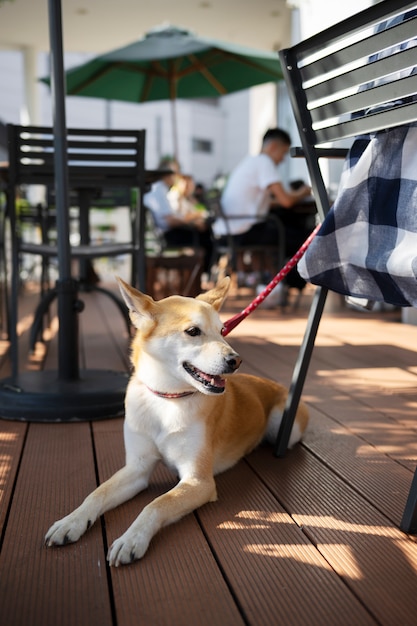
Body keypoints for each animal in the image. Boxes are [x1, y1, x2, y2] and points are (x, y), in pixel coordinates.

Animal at [45, 276, 308, 564]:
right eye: (193, 331)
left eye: (222, 330)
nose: (236, 360)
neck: (167, 400)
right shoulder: (137, 468)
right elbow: (98, 492)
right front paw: (71, 521)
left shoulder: (198, 481)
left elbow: (155, 504)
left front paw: (131, 539)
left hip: (285, 426)